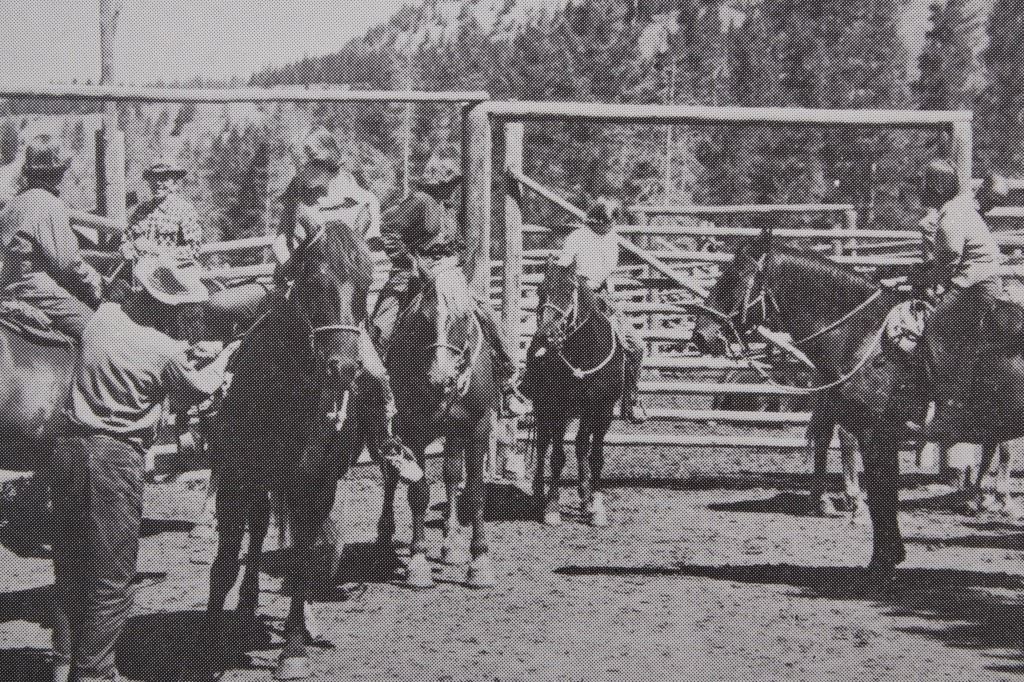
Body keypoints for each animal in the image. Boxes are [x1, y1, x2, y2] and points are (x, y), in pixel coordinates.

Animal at [195, 209, 374, 681]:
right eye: (313, 280)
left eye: (366, 284)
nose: (344, 368)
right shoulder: (235, 478)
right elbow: (225, 561)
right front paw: (208, 641)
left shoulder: (317, 484)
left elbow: (301, 560)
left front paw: (293, 648)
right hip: (256, 482)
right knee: (255, 534)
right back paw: (244, 609)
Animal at [372, 262, 499, 589]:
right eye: (424, 318)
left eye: (464, 316)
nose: (441, 378)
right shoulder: (412, 431)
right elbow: (419, 494)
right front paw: (418, 563)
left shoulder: (479, 427)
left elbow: (474, 491)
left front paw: (480, 562)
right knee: (391, 475)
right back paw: (384, 536)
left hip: (454, 432)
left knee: (452, 474)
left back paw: (451, 542)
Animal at [523, 259, 624, 527]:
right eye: (540, 291)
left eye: (570, 292)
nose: (545, 336)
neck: (585, 354)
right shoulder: (557, 407)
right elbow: (557, 457)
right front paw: (552, 508)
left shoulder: (602, 409)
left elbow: (595, 455)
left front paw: (596, 507)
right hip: (543, 408)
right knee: (543, 445)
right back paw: (539, 494)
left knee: (580, 446)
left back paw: (585, 498)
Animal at [690, 235, 1024, 577]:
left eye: (736, 275)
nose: (700, 335)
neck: (864, 337)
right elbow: (884, 494)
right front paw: (889, 554)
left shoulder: (872, 432)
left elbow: (880, 495)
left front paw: (881, 561)